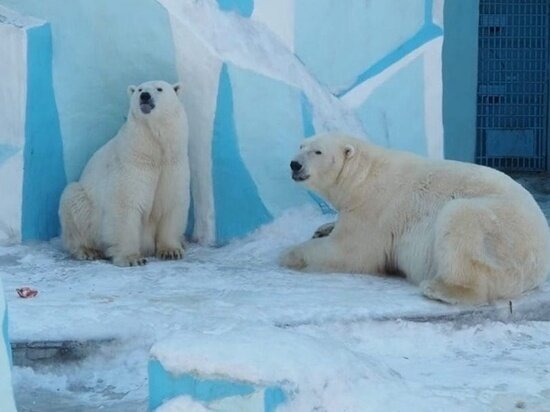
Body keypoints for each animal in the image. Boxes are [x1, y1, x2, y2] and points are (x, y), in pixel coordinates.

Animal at [59, 80, 191, 268]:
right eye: (140, 89)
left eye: (159, 89)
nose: (145, 96)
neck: (153, 149)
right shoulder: (133, 162)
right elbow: (126, 205)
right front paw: (132, 258)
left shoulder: (173, 163)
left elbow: (171, 203)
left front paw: (171, 251)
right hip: (84, 204)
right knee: (72, 201)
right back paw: (88, 250)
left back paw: (183, 242)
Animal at [282, 134, 550, 304]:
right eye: (301, 145)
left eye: (318, 151)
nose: (294, 164)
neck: (361, 177)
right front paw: (322, 228)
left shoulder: (374, 208)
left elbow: (349, 251)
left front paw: (289, 254)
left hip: (500, 231)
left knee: (459, 219)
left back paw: (440, 288)